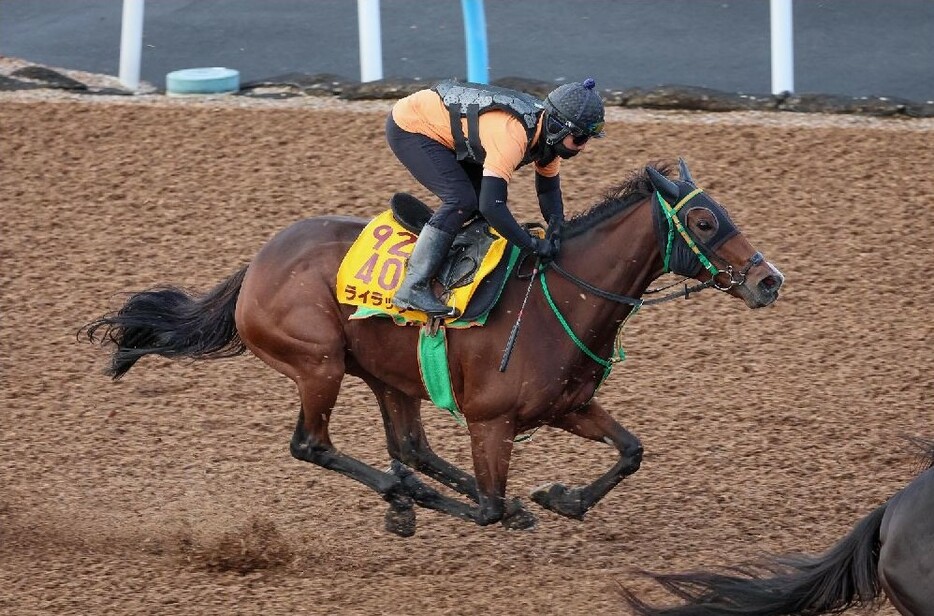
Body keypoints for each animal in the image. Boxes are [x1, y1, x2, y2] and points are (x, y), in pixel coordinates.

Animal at [82, 158, 784, 536]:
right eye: (703, 221)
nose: (768, 279)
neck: (559, 299)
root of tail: (256, 265)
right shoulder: (491, 422)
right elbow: (491, 508)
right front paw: (470, 503)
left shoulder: (567, 406)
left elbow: (631, 451)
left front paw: (561, 499)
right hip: (319, 363)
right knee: (315, 445)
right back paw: (401, 497)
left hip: (387, 375)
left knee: (410, 447)